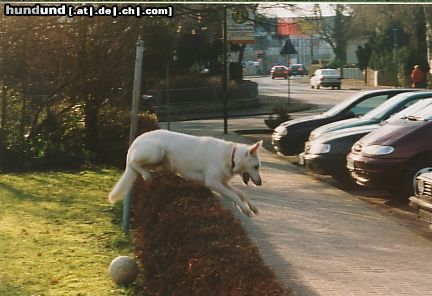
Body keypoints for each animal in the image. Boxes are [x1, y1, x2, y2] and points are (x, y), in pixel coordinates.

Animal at [109, 129, 264, 215]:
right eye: (256, 167)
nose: (260, 183)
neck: (231, 156)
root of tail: (134, 142)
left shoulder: (223, 183)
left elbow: (241, 194)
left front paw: (252, 207)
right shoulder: (214, 183)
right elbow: (234, 196)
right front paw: (245, 210)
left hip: (162, 164)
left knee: (141, 166)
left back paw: (146, 174)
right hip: (156, 151)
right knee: (133, 163)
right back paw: (145, 174)